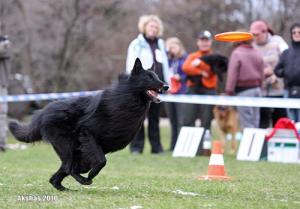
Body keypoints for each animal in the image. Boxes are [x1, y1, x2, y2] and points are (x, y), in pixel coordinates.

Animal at [8, 58, 169, 191]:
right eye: (149, 77)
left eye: (157, 76)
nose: (166, 86)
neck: (127, 98)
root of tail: (42, 113)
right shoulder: (88, 134)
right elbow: (101, 161)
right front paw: (91, 176)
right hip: (68, 146)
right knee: (69, 167)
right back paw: (82, 180)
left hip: (75, 153)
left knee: (62, 172)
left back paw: (64, 188)